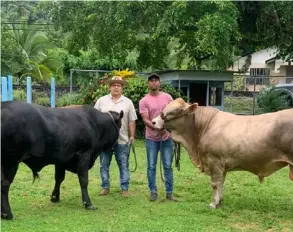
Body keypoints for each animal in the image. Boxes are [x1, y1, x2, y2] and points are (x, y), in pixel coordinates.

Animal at [152, 98, 290, 208]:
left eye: (173, 112)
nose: (153, 121)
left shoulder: (214, 161)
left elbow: (215, 184)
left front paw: (213, 204)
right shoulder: (222, 166)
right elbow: (221, 183)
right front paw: (220, 202)